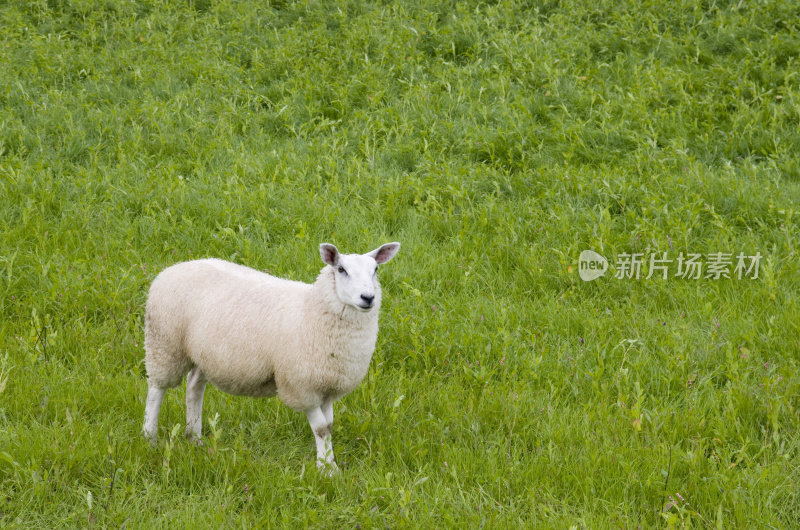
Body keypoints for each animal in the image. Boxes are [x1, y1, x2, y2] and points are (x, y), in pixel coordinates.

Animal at [141, 241, 400, 472]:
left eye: (375, 270)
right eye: (341, 270)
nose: (368, 297)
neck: (314, 310)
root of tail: (174, 268)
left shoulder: (327, 385)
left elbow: (328, 426)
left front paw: (329, 465)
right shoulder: (300, 386)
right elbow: (320, 429)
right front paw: (326, 470)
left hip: (205, 354)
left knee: (194, 386)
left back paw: (194, 437)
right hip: (164, 344)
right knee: (156, 389)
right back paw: (149, 437)